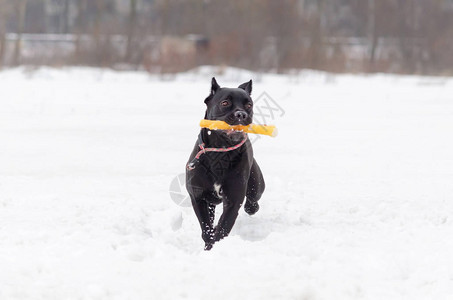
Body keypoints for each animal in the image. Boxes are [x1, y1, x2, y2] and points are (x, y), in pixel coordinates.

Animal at [185, 77, 264, 251]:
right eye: (225, 103)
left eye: (249, 105)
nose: (241, 114)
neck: (220, 152)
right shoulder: (198, 196)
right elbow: (207, 228)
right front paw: (208, 246)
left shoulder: (233, 200)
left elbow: (223, 228)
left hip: (257, 186)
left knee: (253, 203)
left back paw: (251, 208)